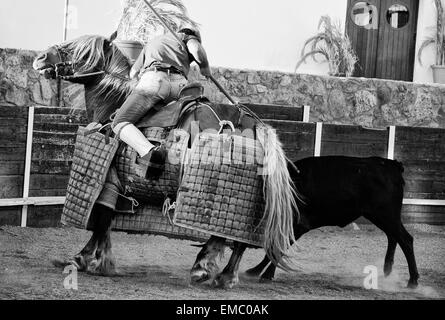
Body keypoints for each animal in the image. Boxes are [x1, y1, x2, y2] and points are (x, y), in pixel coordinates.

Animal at [32, 32, 302, 288]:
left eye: (76, 51)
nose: (40, 58)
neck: (114, 102)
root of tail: (254, 124)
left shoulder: (110, 182)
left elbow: (101, 220)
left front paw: (83, 258)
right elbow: (106, 224)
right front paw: (97, 259)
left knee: (222, 235)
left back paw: (202, 268)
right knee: (240, 239)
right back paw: (225, 276)